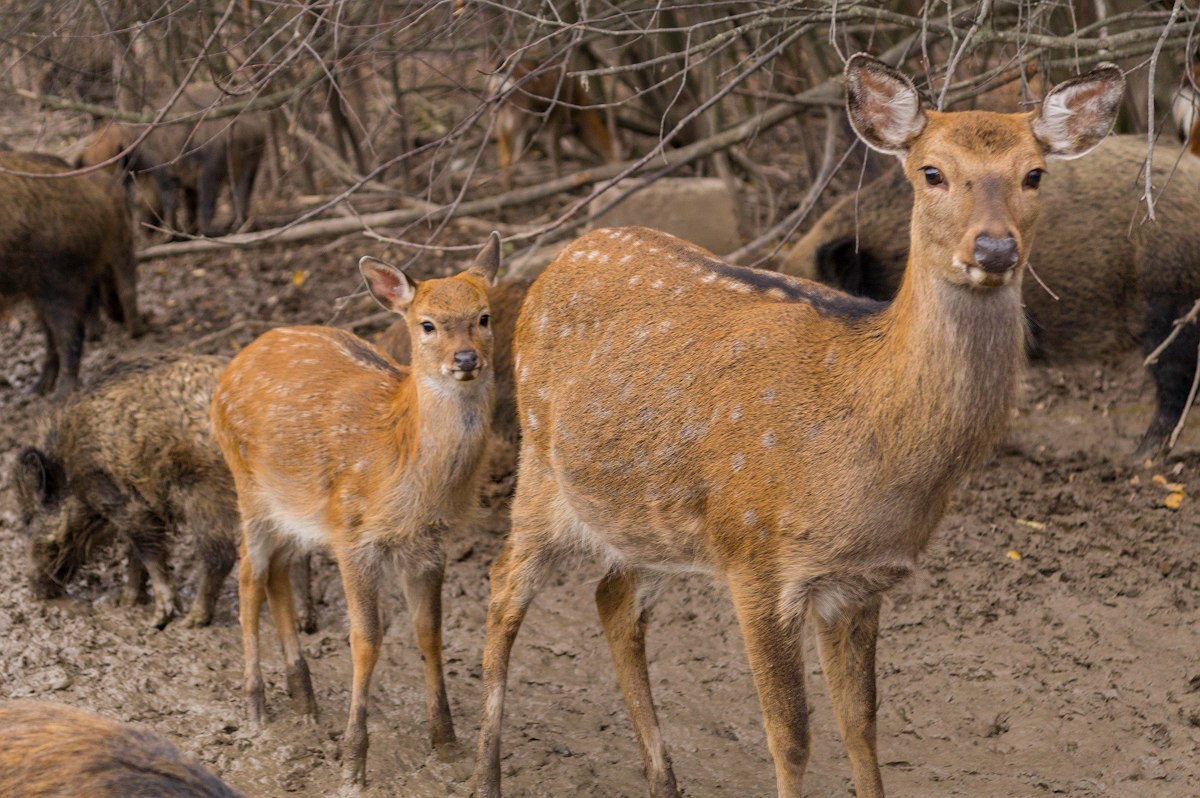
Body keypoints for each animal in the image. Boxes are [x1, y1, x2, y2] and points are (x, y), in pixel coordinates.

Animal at [208, 234, 499, 787]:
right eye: (427, 324)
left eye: (484, 316)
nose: (466, 358)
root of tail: (231, 366)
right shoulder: (353, 533)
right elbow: (366, 638)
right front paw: (352, 762)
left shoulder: (431, 543)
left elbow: (430, 632)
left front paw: (446, 743)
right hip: (247, 485)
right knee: (249, 576)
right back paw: (256, 704)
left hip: (296, 510)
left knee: (277, 573)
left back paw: (304, 699)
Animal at [470, 56, 1123, 796]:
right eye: (931, 171)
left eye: (1034, 173)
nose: (992, 247)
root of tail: (564, 256)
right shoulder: (756, 556)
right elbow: (791, 734)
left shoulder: (859, 582)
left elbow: (861, 724)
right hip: (541, 464)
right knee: (503, 586)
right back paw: (483, 774)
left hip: (650, 517)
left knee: (613, 598)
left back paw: (662, 779)